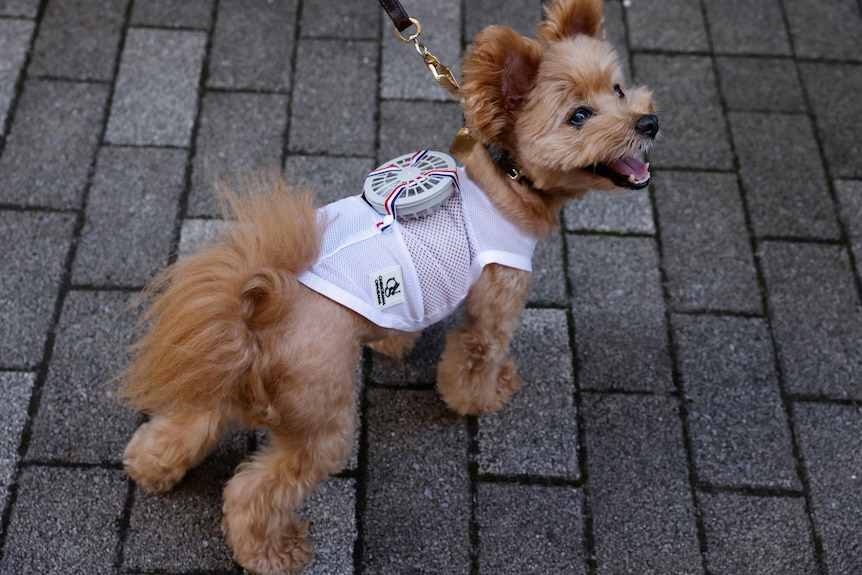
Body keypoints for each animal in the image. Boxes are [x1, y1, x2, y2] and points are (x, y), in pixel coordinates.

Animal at [116, 2, 660, 572]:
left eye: (618, 89)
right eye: (579, 115)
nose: (649, 121)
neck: (505, 186)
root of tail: (256, 316)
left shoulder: (408, 302)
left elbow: (399, 328)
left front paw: (396, 345)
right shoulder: (494, 307)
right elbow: (476, 362)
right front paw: (486, 396)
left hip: (220, 381)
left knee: (189, 422)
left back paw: (150, 465)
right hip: (322, 425)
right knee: (254, 493)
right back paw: (274, 552)